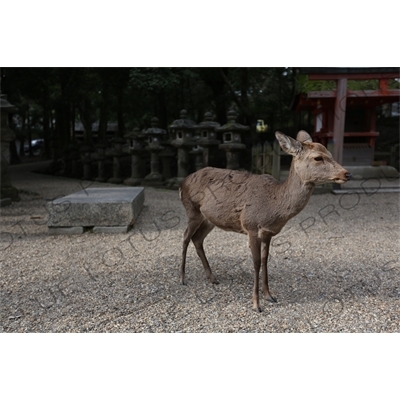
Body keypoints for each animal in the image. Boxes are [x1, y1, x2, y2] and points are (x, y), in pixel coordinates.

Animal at [178, 130, 350, 310]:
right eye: (318, 157)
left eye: (330, 153)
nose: (346, 173)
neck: (273, 206)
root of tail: (182, 183)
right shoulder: (251, 226)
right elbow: (256, 263)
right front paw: (256, 304)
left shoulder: (268, 232)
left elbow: (265, 260)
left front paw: (269, 296)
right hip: (192, 210)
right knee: (185, 237)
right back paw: (182, 278)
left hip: (209, 219)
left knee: (197, 239)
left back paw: (212, 278)